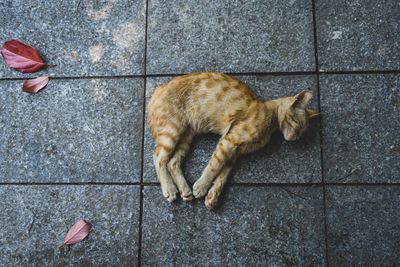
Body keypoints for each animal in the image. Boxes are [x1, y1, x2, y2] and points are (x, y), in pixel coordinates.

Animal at [147, 72, 318, 210]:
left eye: (303, 132)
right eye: (296, 125)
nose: (295, 138)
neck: (270, 118)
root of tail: (157, 90)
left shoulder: (236, 152)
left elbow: (223, 175)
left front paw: (213, 196)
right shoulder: (229, 141)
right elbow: (214, 167)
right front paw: (201, 186)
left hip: (186, 136)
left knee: (173, 162)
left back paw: (185, 190)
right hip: (172, 130)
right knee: (159, 158)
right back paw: (169, 189)